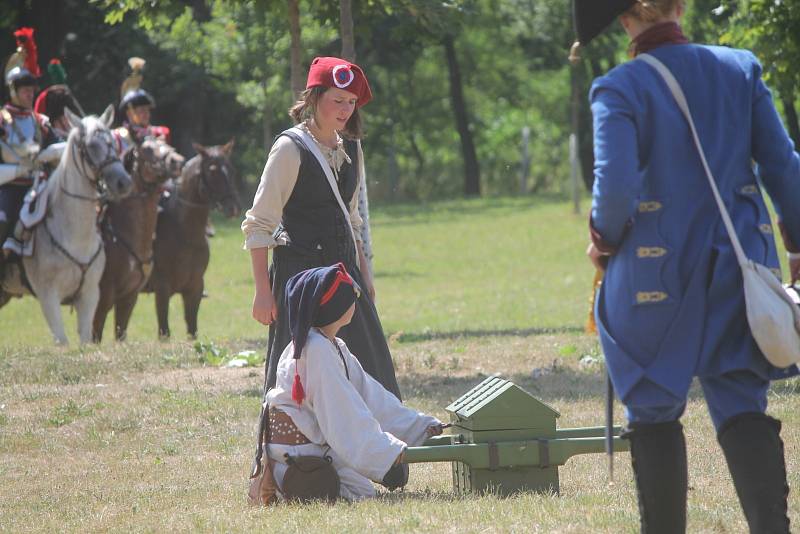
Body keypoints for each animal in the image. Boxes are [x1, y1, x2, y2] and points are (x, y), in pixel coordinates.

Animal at [22, 107, 132, 346]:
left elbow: (85, 339)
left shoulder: (89, 295)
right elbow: (62, 341)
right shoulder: (48, 295)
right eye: (91, 146)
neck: (74, 236)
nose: (124, 182)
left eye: (113, 142)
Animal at [92, 138, 184, 344]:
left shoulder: (129, 297)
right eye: (147, 149)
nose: (177, 161)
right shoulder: (102, 298)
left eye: (166, 144)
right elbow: (95, 335)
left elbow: (120, 332)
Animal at [148, 139, 239, 340]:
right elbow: (164, 331)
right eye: (212, 171)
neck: (185, 235)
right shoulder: (162, 289)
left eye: (230, 168)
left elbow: (192, 329)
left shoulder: (194, 288)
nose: (233, 208)